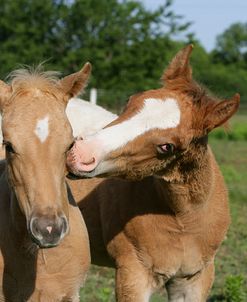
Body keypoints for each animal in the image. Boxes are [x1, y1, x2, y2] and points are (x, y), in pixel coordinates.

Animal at [67, 45, 239, 302]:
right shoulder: (133, 273)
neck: (184, 219)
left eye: (167, 147)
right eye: (130, 100)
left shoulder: (195, 278)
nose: (79, 154)